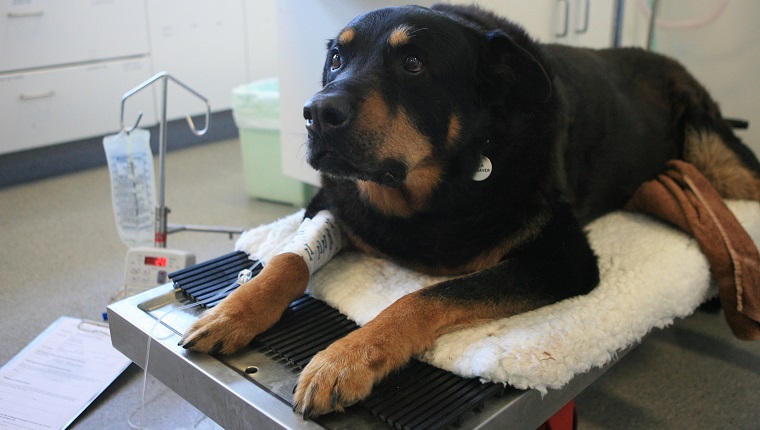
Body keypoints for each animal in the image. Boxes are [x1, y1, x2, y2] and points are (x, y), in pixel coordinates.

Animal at [181, 5, 760, 418]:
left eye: (413, 64)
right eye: (336, 60)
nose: (317, 112)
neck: (426, 195)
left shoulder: (564, 257)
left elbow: (425, 297)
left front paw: (346, 357)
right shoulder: (332, 201)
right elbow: (288, 260)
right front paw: (234, 310)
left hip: (716, 157)